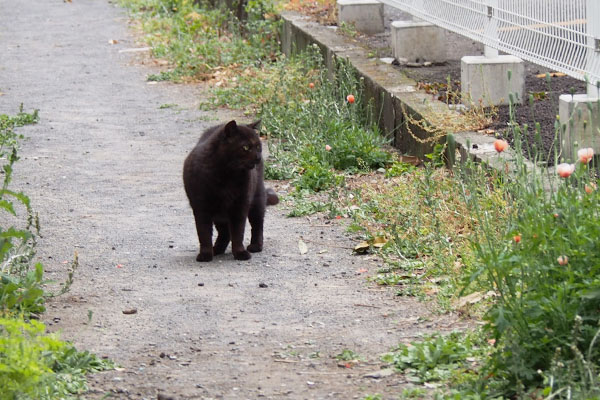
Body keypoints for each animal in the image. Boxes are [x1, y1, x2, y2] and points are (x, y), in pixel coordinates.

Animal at [183, 119, 278, 262]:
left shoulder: (239, 205)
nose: (258, 157)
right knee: (224, 232)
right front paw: (205, 254)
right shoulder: (201, 208)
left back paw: (255, 246)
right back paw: (216, 249)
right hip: (219, 213)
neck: (226, 174)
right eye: (246, 147)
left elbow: (238, 232)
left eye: (258, 147)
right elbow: (203, 233)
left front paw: (240, 253)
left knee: (257, 224)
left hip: (257, 198)